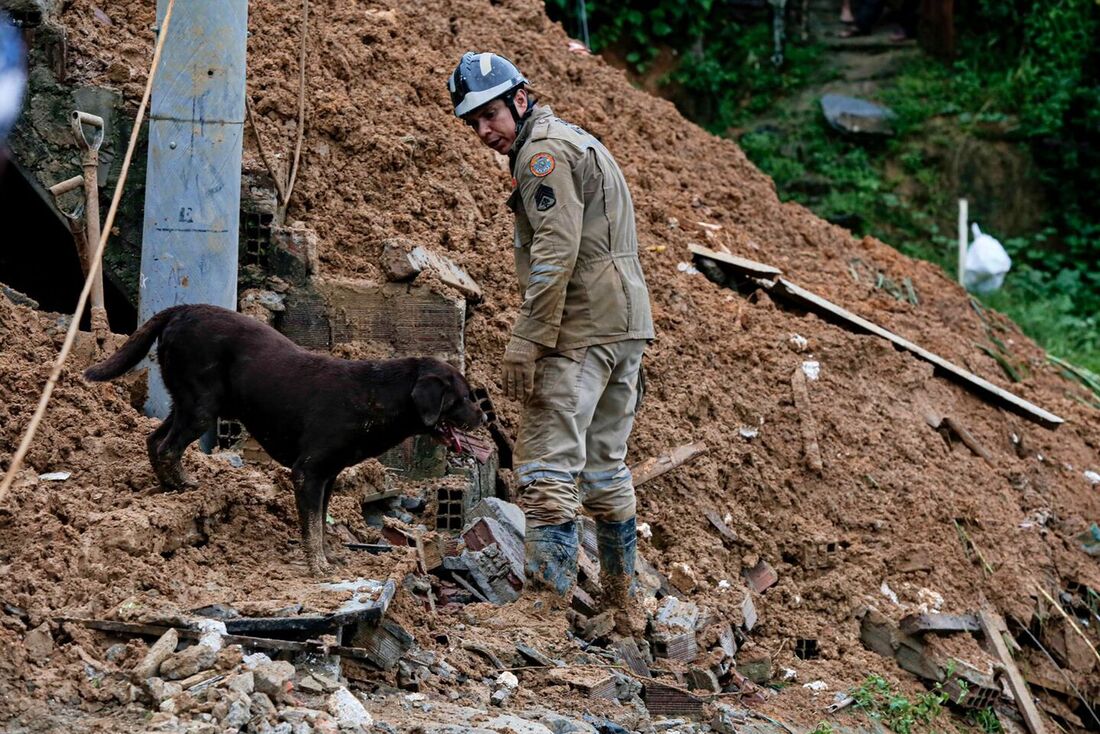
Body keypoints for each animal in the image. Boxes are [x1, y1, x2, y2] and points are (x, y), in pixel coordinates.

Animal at [85, 303, 481, 572]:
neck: (377, 395)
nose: (483, 415)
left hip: (188, 404)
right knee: (168, 446)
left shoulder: (328, 476)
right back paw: (181, 486)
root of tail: (181, 309)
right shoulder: (308, 472)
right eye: (462, 398)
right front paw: (318, 565)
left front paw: (328, 555)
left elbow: (320, 522)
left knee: (154, 440)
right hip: (201, 407)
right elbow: (312, 525)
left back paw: (172, 486)